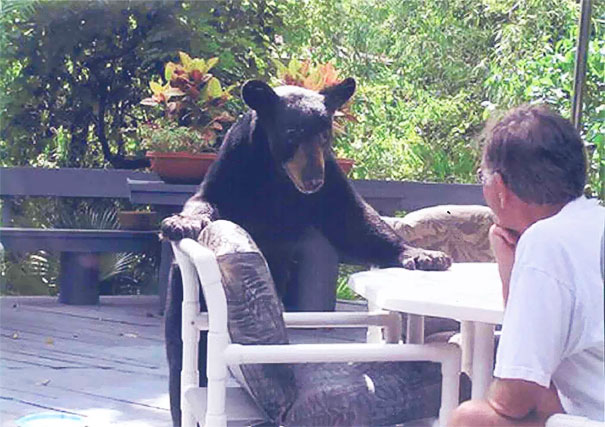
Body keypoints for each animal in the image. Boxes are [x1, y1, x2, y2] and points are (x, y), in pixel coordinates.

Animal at [158, 78, 450, 426]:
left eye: (325, 134)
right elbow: (206, 199)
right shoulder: (234, 164)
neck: (277, 177)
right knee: (181, 361)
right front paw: (182, 222)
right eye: (292, 133)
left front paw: (422, 254)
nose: (313, 179)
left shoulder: (330, 181)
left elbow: (354, 222)